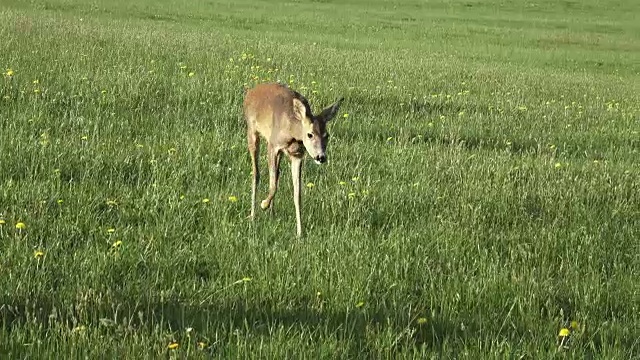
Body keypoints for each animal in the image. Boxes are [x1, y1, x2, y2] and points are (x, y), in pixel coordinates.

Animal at [244, 83, 344, 238]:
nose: (320, 157)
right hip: (252, 130)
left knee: (277, 174)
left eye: (327, 135)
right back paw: (253, 215)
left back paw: (272, 213)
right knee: (256, 173)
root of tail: (251, 92)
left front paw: (299, 232)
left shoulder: (297, 155)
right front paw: (263, 204)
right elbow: (273, 185)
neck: (292, 130)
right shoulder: (272, 145)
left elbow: (297, 194)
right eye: (310, 134)